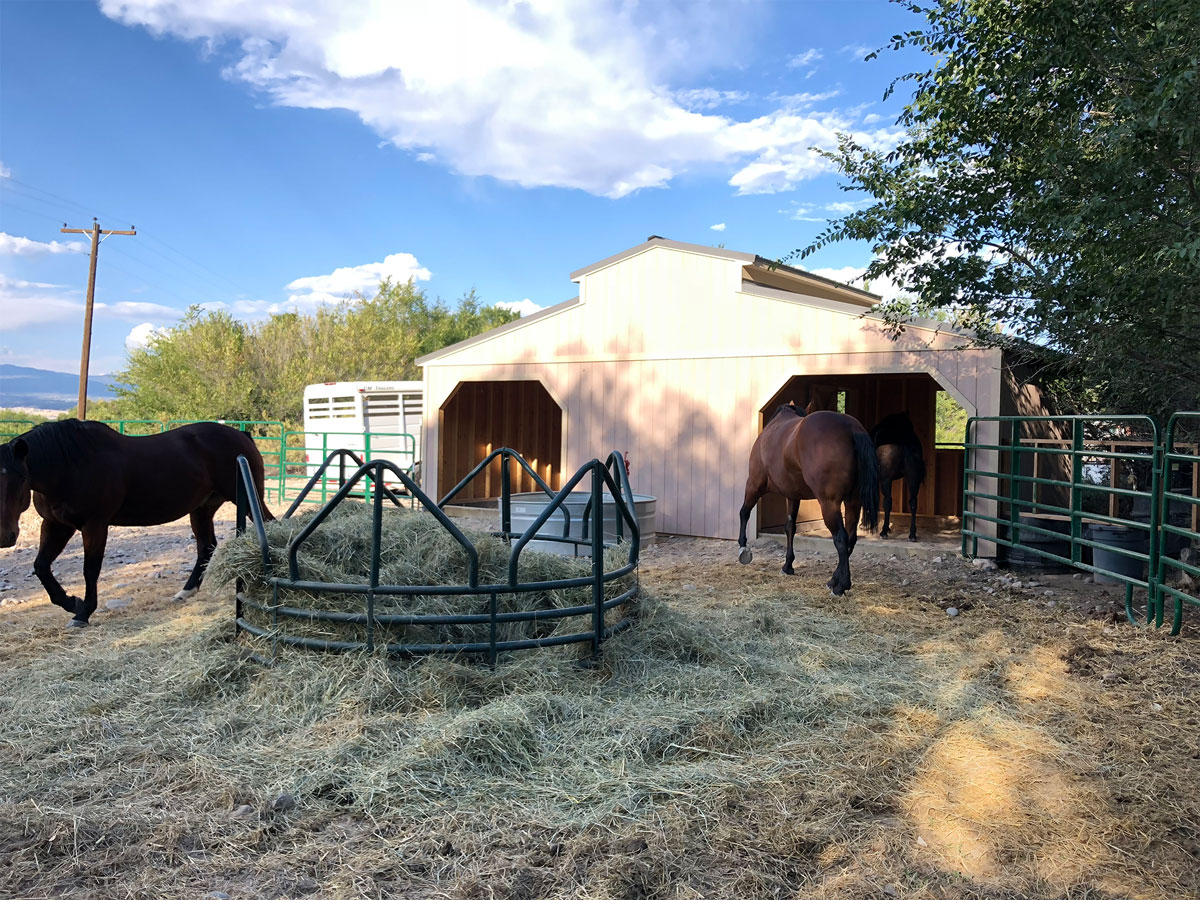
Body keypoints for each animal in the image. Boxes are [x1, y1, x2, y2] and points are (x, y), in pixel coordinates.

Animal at [0, 419, 274, 628]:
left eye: (21, 477)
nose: (6, 536)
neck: (69, 466)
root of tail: (241, 435)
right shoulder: (56, 525)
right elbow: (41, 567)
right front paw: (72, 603)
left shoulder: (95, 525)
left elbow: (90, 570)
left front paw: (83, 613)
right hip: (202, 508)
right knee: (206, 547)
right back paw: (185, 592)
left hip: (246, 500)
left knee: (268, 525)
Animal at [737, 403, 879, 595]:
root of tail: (851, 428)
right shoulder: (792, 495)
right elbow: (790, 527)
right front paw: (788, 566)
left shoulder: (754, 483)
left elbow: (744, 512)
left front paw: (743, 548)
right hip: (853, 502)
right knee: (851, 538)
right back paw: (833, 580)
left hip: (829, 503)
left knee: (841, 539)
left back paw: (841, 586)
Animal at [869, 411, 927, 542]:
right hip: (913, 479)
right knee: (913, 502)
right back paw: (912, 534)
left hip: (886, 480)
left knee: (888, 501)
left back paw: (884, 531)